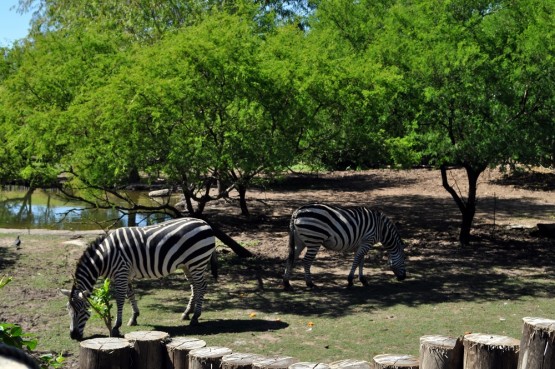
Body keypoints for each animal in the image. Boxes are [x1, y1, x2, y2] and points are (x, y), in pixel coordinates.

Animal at [60, 216, 216, 340]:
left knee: (202, 286)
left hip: (197, 261)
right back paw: (187, 313)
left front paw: (116, 327)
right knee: (194, 286)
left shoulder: (121, 272)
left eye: (81, 311)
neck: (105, 257)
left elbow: (120, 298)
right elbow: (130, 294)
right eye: (68, 310)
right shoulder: (124, 274)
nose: (73, 336)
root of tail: (204, 222)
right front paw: (134, 317)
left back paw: (195, 317)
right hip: (187, 265)